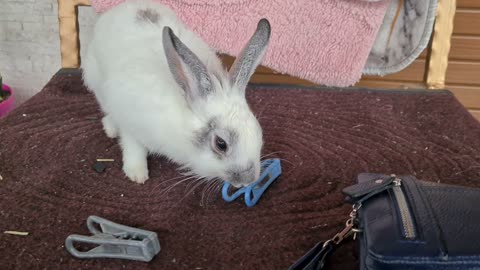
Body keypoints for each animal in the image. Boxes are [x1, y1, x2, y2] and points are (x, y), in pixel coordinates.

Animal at [82, 0, 270, 187]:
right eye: (221, 144)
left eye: (259, 132)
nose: (249, 180)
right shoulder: (130, 121)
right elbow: (133, 147)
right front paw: (137, 173)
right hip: (96, 83)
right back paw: (111, 128)